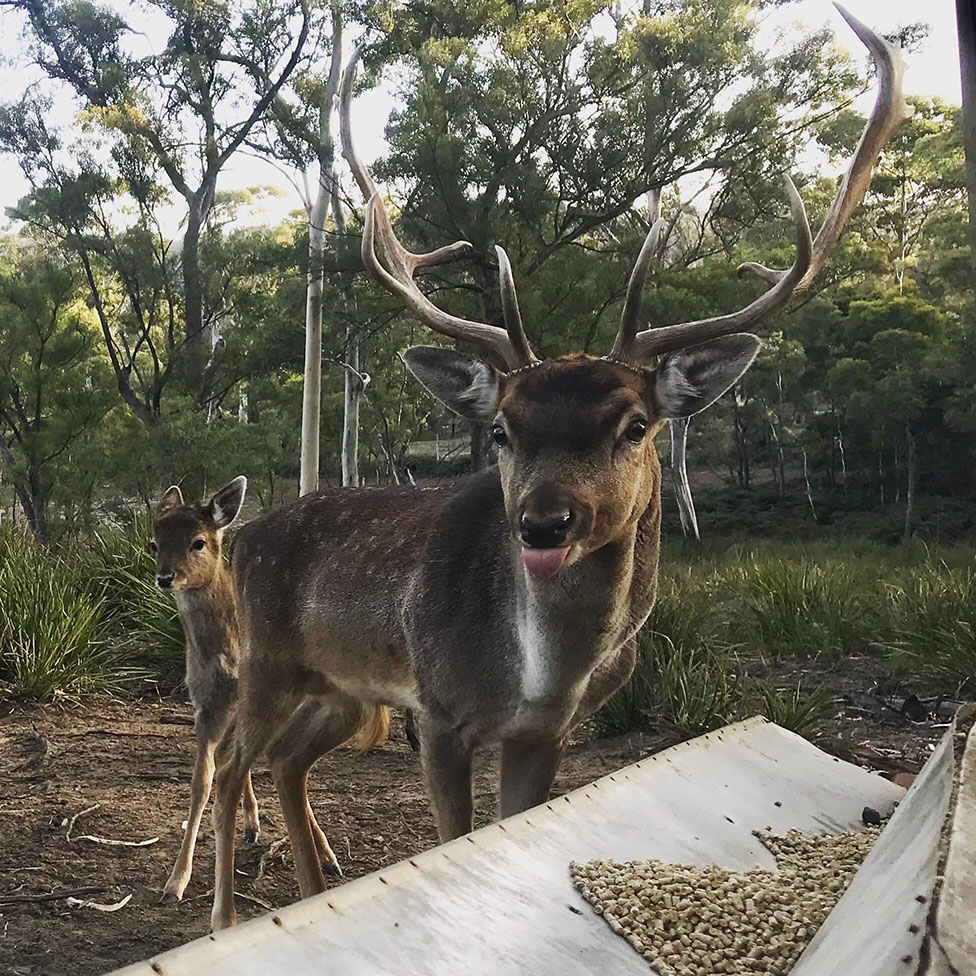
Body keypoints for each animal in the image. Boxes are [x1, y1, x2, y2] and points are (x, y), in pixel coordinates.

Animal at [208, 3, 916, 928]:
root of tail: (242, 537)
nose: (543, 523)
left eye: (636, 425)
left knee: (288, 762)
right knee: (232, 761)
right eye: (504, 429)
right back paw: (220, 914)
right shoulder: (438, 713)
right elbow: (450, 839)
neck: (540, 675)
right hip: (266, 659)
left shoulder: (544, 734)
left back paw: (312, 889)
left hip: (341, 685)